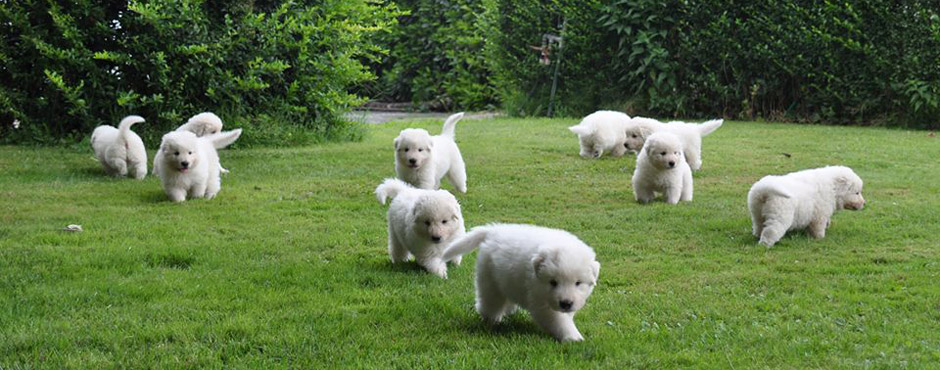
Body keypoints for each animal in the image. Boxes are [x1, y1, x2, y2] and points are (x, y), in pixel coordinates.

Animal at [442, 223, 604, 342]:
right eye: (553, 282)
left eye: (578, 283)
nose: (566, 303)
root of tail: (493, 231)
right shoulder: (541, 302)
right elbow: (559, 320)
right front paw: (573, 337)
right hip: (490, 281)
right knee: (489, 303)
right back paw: (492, 320)